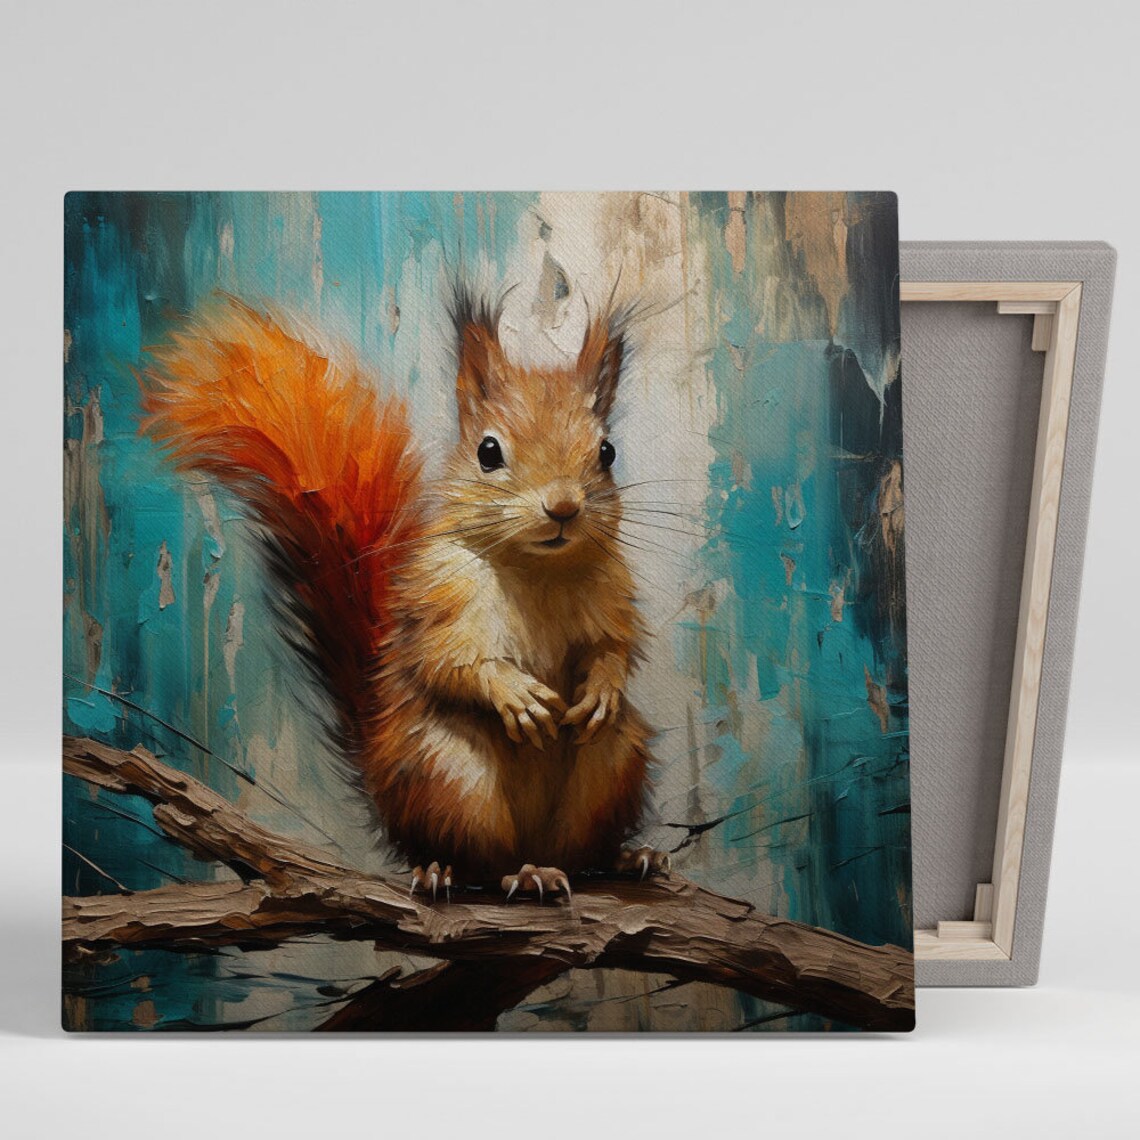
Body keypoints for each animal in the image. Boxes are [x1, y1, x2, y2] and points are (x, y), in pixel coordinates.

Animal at [140, 289, 669, 901]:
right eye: (489, 451)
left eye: (607, 452)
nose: (562, 507)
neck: (537, 570)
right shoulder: (438, 601)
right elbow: (450, 664)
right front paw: (515, 694)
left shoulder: (612, 598)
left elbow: (613, 650)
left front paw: (602, 690)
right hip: (450, 776)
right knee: (479, 861)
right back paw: (464, 870)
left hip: (614, 764)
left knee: (584, 851)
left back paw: (628, 858)